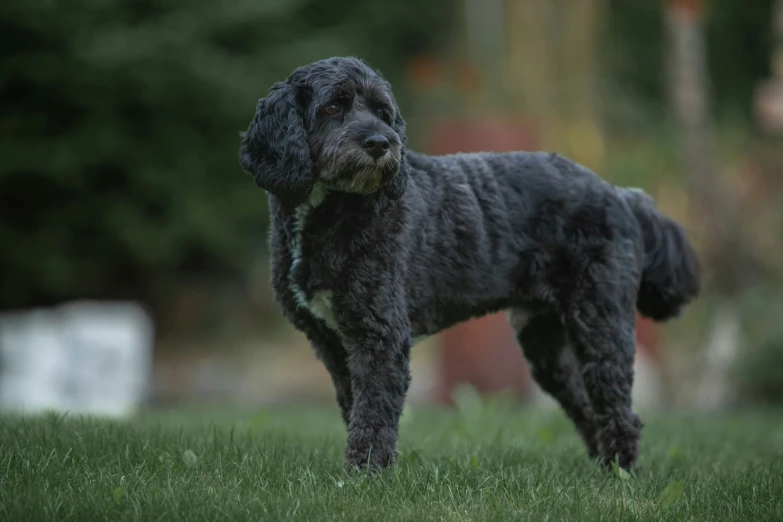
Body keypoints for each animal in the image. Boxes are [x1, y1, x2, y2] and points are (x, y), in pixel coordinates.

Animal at [237, 57, 700, 472]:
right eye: (333, 107)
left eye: (383, 112)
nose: (380, 143)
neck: (331, 210)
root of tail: (620, 194)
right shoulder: (335, 345)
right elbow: (357, 408)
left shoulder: (380, 335)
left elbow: (374, 412)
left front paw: (365, 474)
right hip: (545, 342)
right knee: (587, 403)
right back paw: (604, 468)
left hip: (600, 321)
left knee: (618, 405)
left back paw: (621, 471)